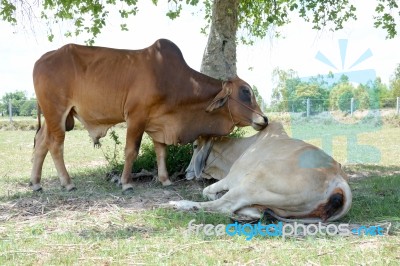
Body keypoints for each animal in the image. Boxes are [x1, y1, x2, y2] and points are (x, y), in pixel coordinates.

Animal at [32, 38, 268, 192]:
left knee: (41, 142)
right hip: (57, 113)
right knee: (55, 144)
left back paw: (36, 183)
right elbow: (131, 151)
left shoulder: (160, 123)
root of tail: (42, 59)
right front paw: (126, 183)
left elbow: (161, 152)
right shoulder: (136, 117)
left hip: (55, 117)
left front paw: (165, 180)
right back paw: (67, 182)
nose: (264, 119)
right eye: (245, 92)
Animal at [170, 121, 352, 221]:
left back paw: (181, 204)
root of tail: (337, 178)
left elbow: (207, 191)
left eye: (195, 146)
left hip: (253, 181)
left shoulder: (231, 178)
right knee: (258, 211)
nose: (186, 172)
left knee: (225, 206)